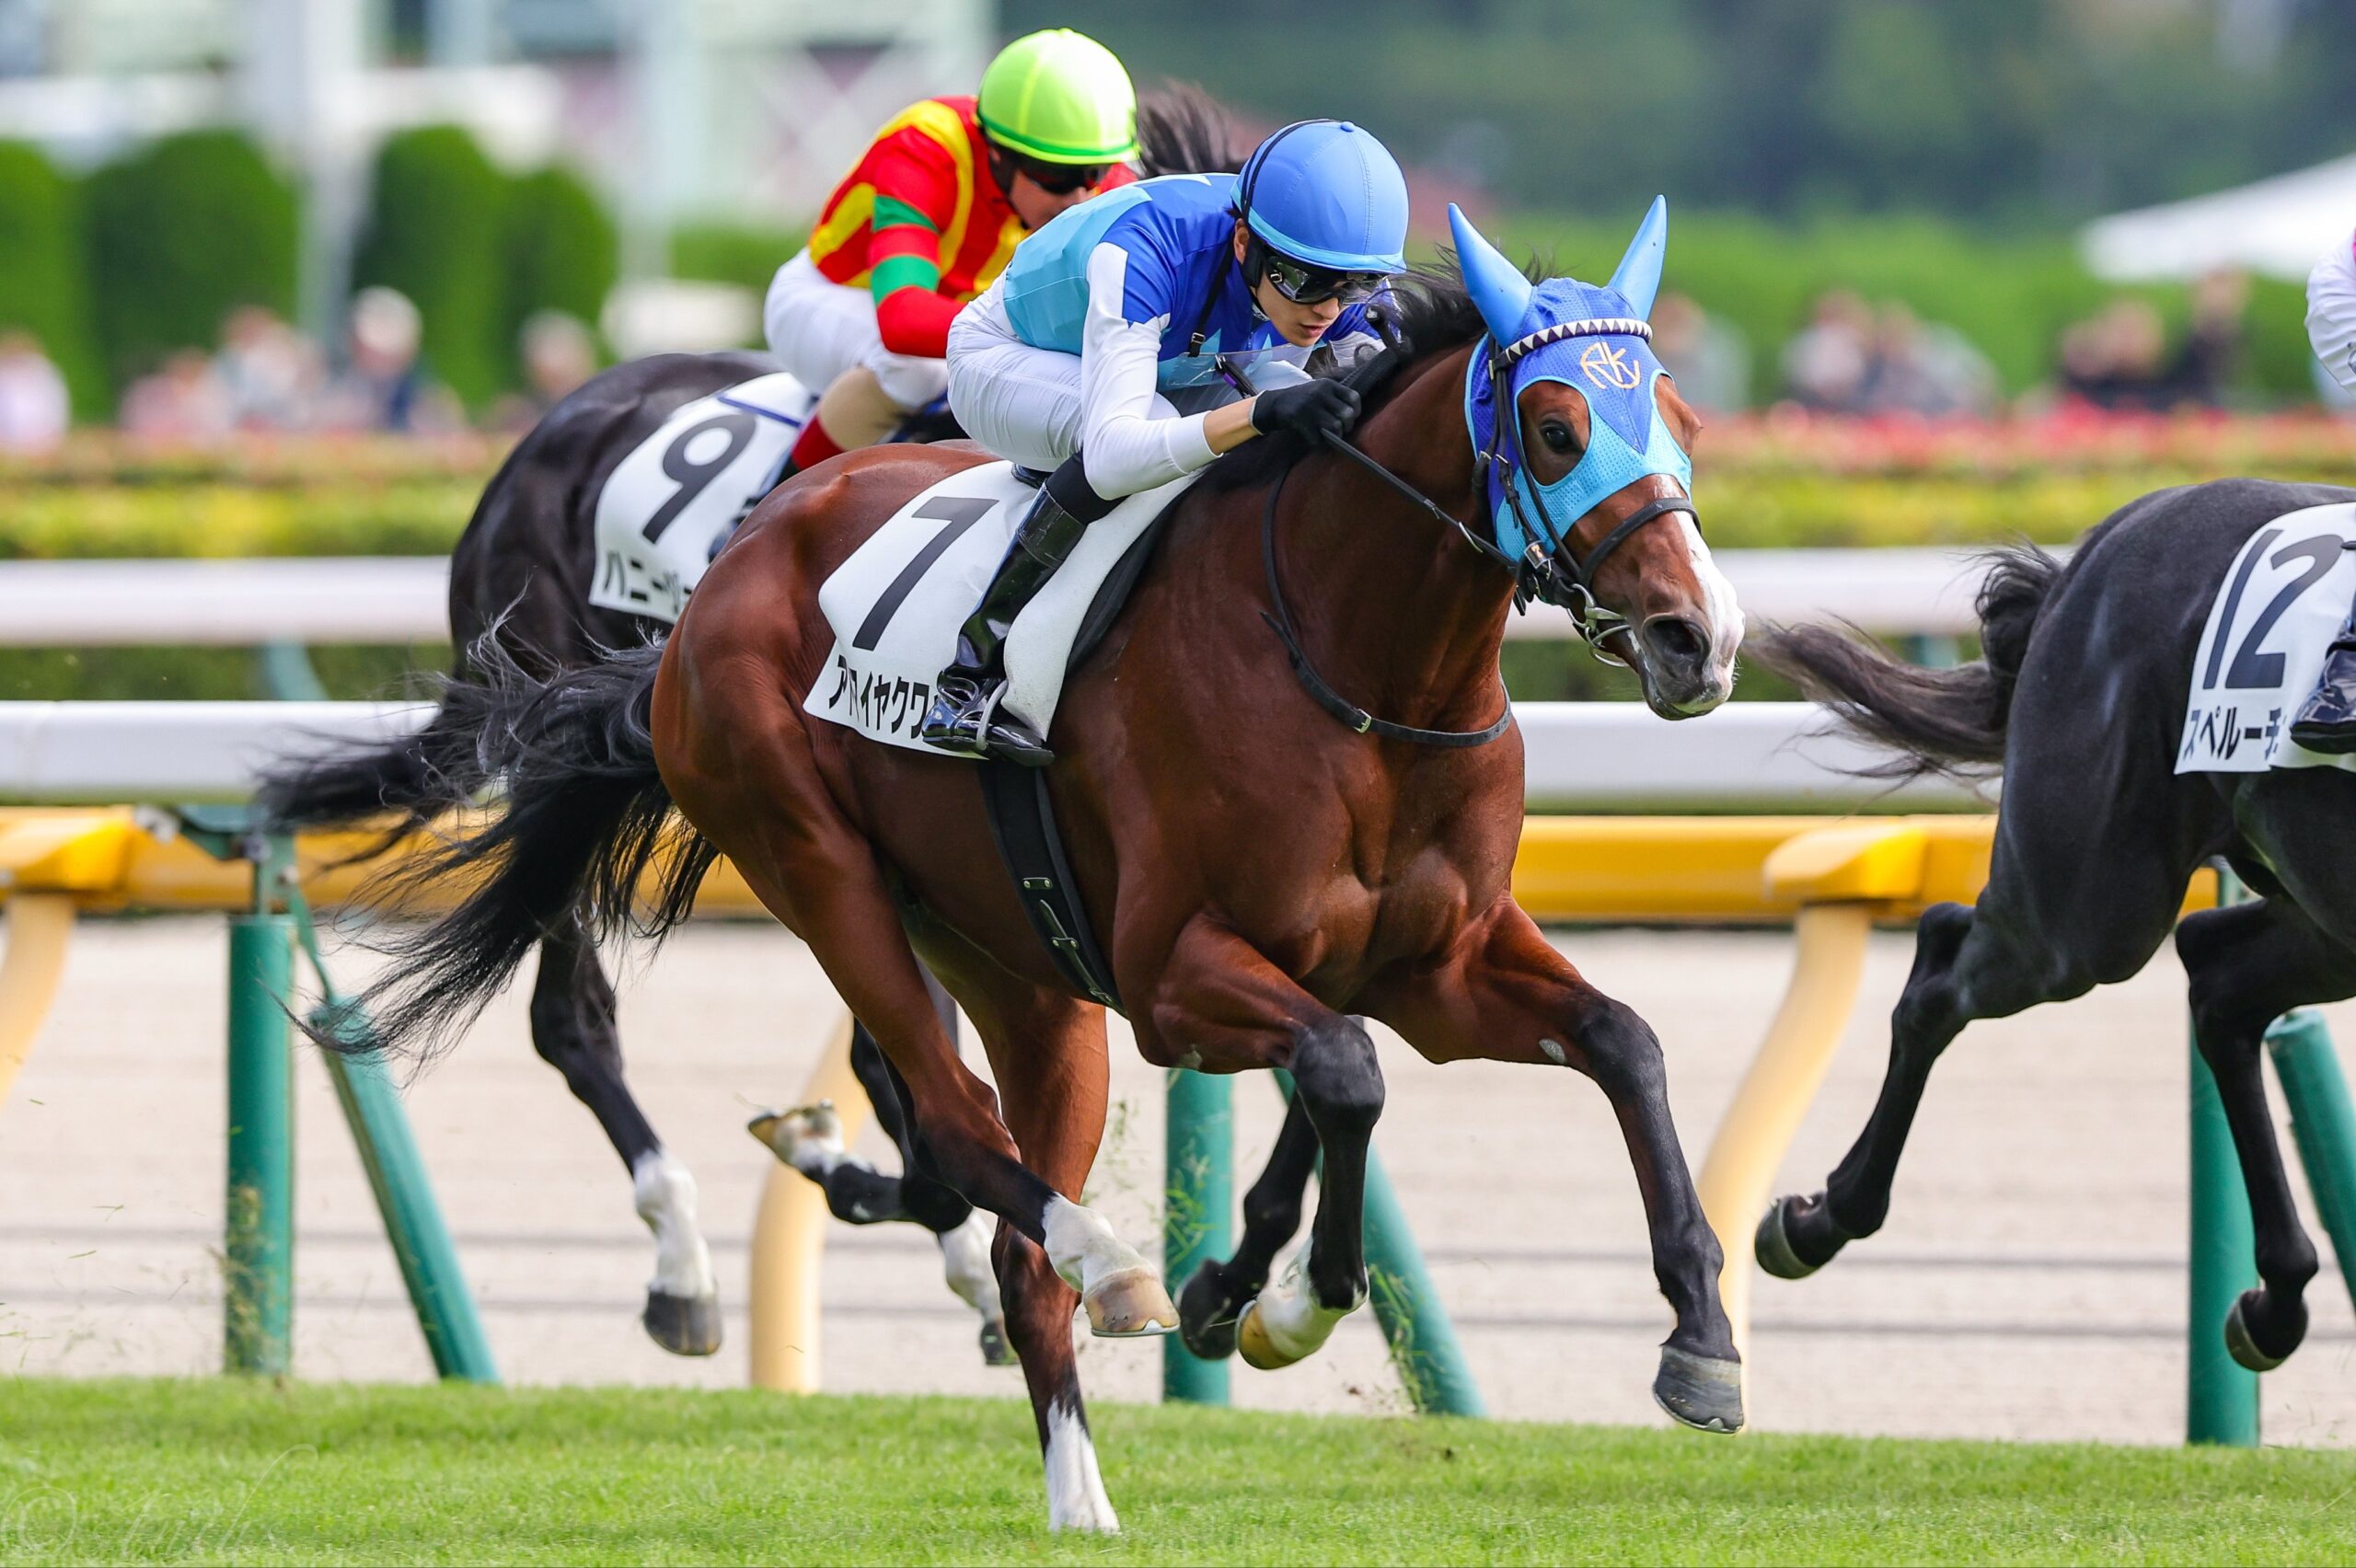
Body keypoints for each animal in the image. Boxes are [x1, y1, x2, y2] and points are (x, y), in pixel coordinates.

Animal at [257, 93, 1238, 1365]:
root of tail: (539, 440)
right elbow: (897, 1076)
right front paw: (880, 1189)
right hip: (567, 742)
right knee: (572, 1018)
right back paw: (681, 1264)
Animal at [294, 202, 1749, 1532]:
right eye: (1556, 427)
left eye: (1679, 415)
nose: (1700, 638)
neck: (1361, 672)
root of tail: (721, 575)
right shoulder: (1173, 976)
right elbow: (1344, 1071)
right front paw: (1273, 1302)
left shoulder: (1433, 964)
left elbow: (1614, 1043)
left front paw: (1701, 1341)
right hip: (816, 862)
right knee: (915, 1109)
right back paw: (1071, 1261)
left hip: (1020, 964)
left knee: (1002, 1193)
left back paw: (1079, 1490)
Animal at [1750, 477, 2356, 1379]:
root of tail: (2111, 535)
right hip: (2087, 912)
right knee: (1943, 970)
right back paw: (1818, 1221)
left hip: (2322, 921)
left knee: (2219, 980)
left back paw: (2274, 1301)